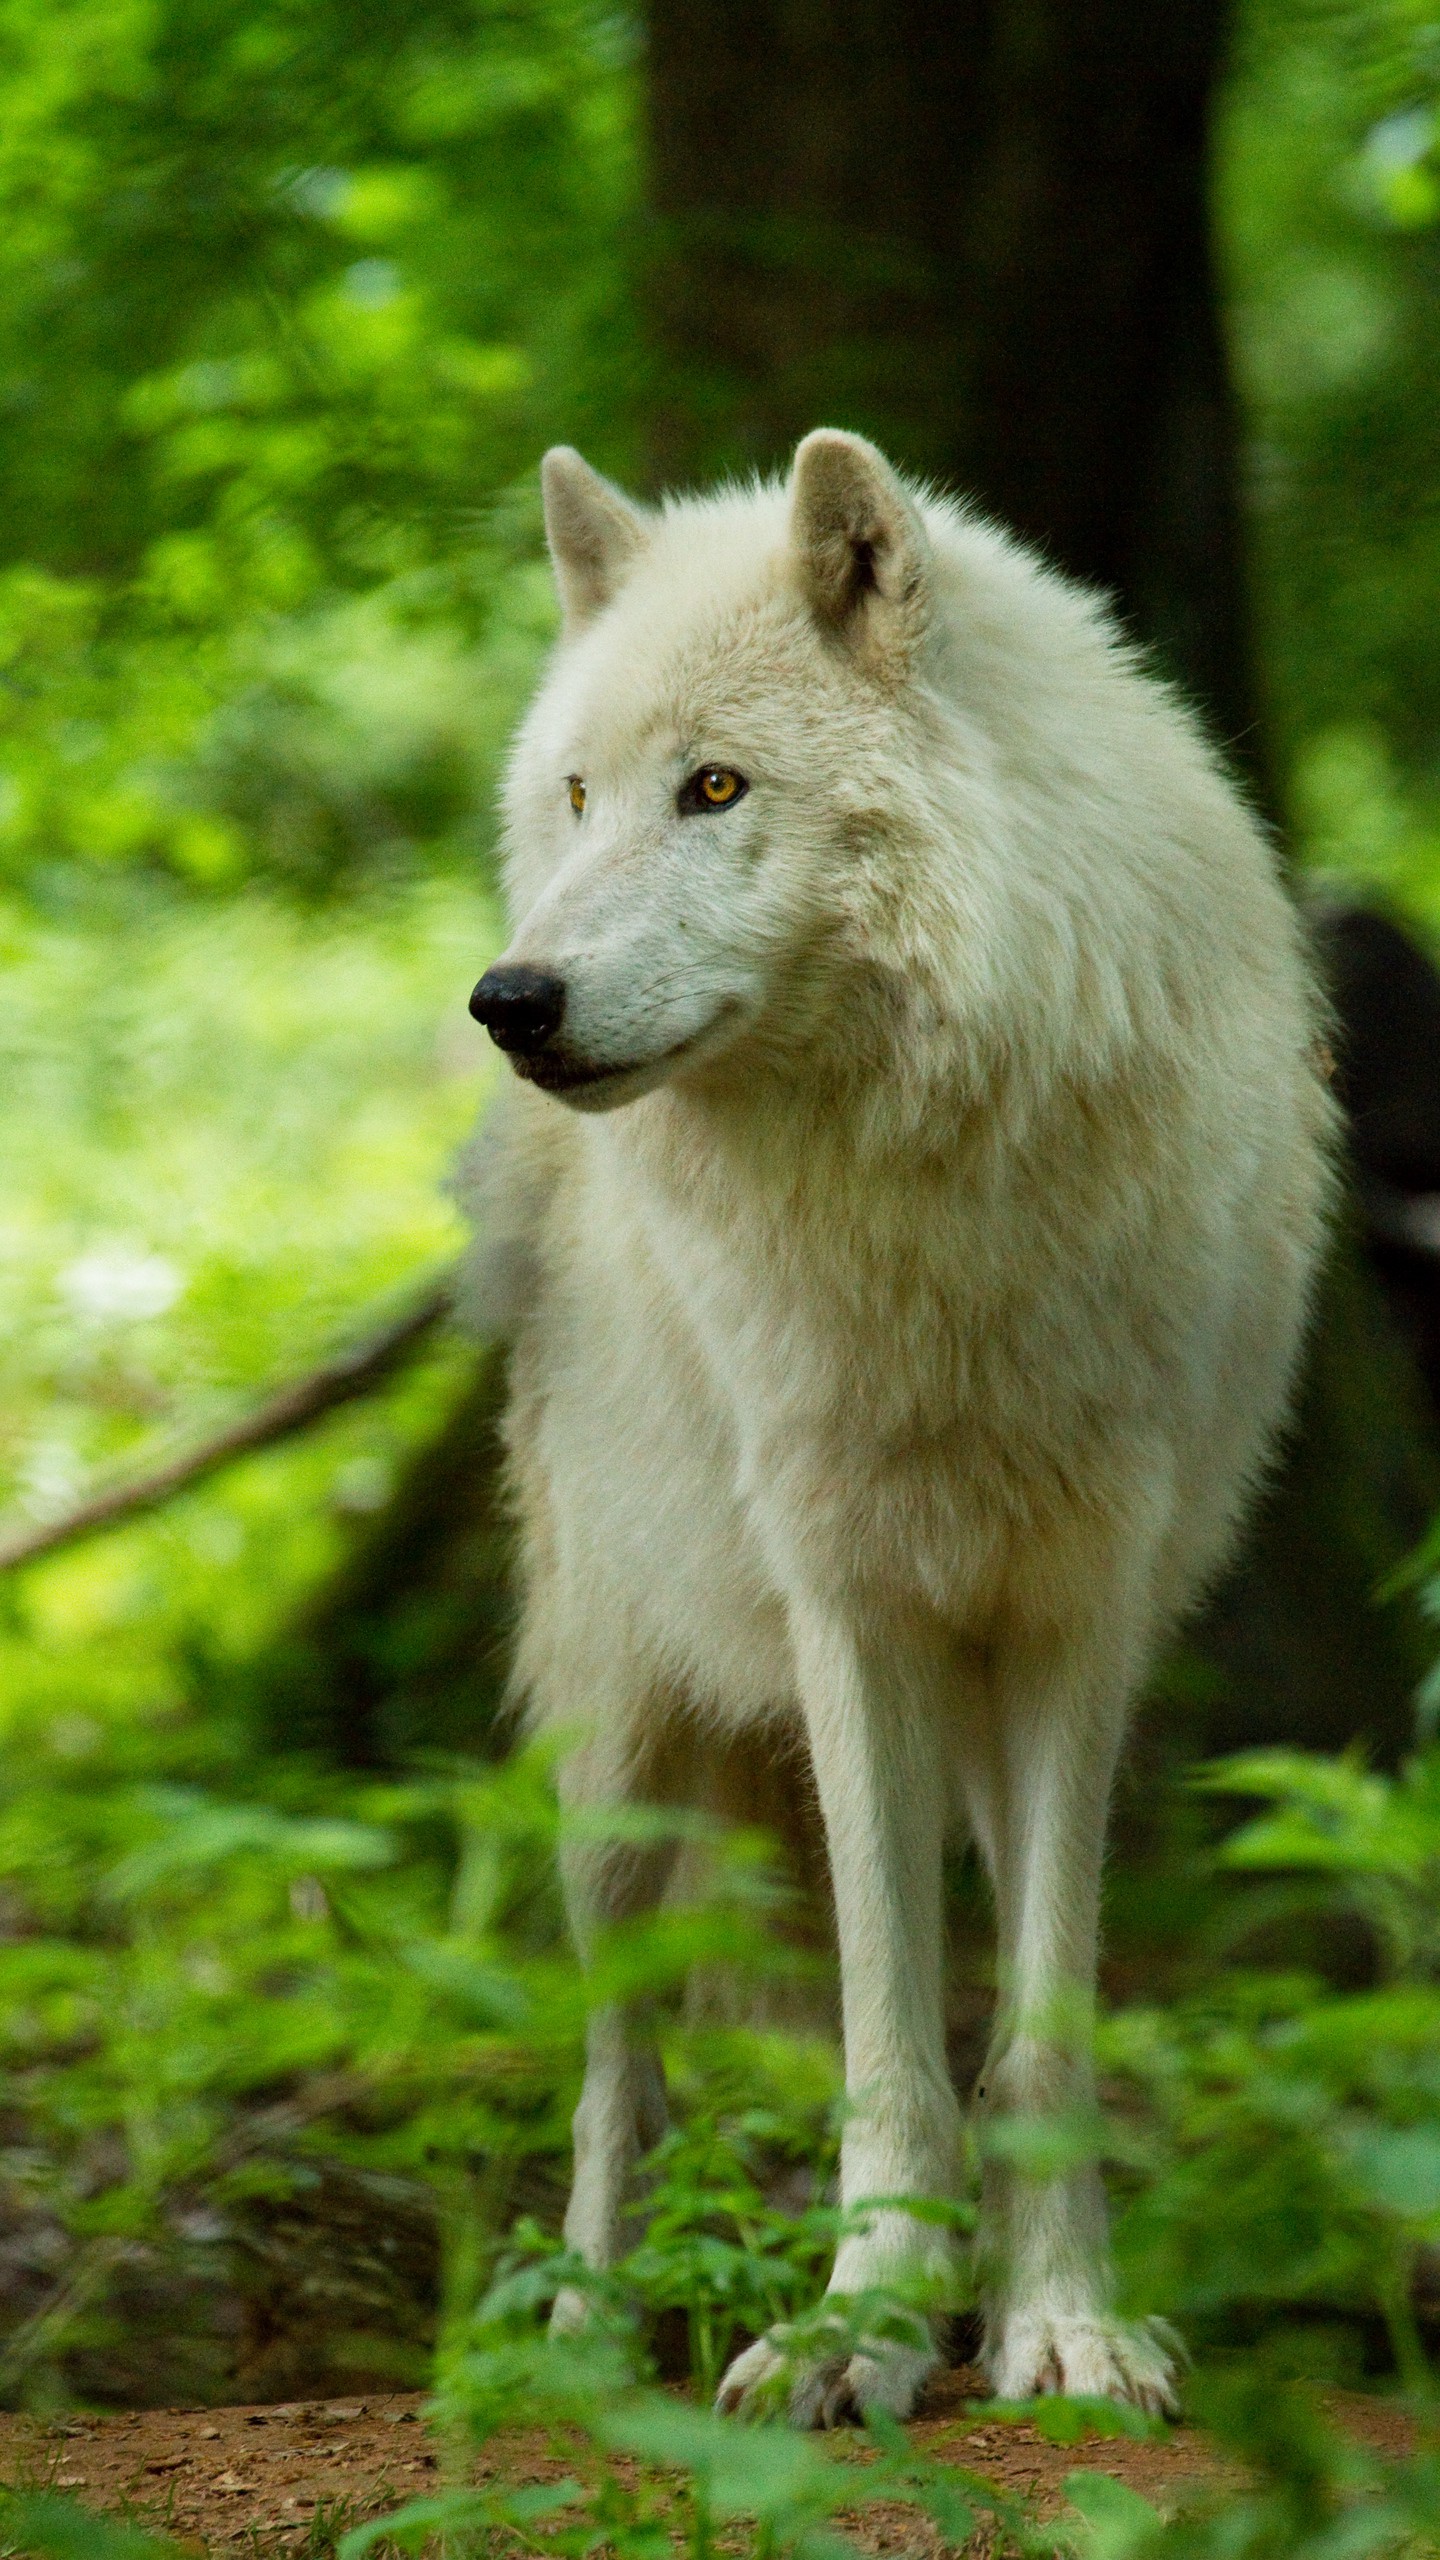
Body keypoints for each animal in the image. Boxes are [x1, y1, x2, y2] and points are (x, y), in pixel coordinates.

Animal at [461, 430, 1332, 2426]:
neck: (919, 1202)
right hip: (618, 1749)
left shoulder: (1079, 1613)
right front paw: (858, 2330)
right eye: (577, 795)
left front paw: (1058, 2325)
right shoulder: (847, 1607)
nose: (512, 1003)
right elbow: (883, 2039)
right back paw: (585, 2333)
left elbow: (1039, 2032)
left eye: (715, 787)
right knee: (615, 2063)